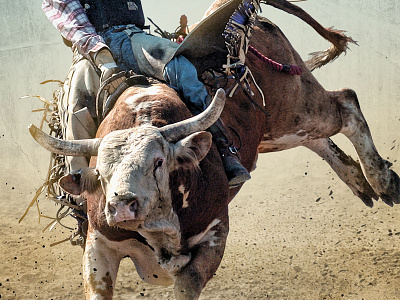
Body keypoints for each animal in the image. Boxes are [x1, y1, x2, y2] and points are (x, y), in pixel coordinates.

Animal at [28, 0, 400, 300]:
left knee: (346, 104)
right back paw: (359, 181)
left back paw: (382, 182)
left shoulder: (214, 237)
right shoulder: (99, 246)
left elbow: (187, 284)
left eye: (158, 162)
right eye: (101, 173)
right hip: (280, 131)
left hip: (296, 106)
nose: (121, 206)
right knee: (319, 138)